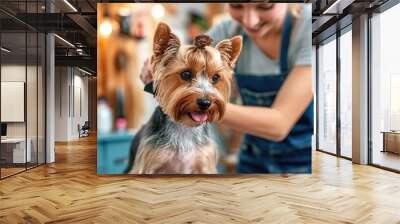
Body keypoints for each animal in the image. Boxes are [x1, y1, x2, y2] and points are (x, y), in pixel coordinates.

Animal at [125, 22, 242, 173]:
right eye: (186, 74)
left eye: (215, 77)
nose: (205, 102)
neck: (185, 127)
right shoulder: (148, 165)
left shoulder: (204, 164)